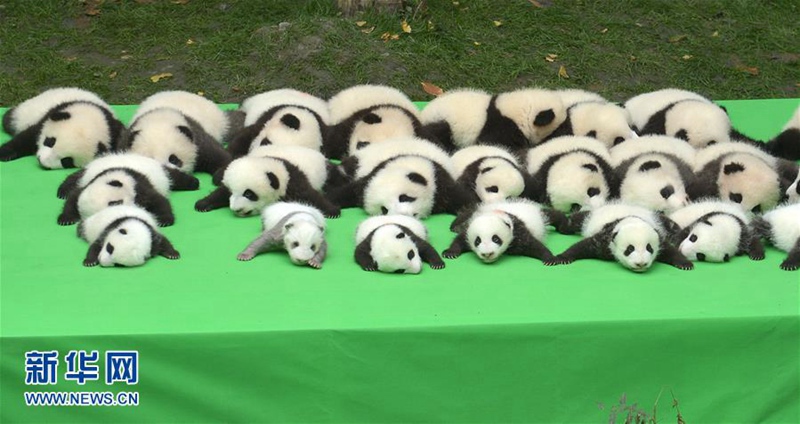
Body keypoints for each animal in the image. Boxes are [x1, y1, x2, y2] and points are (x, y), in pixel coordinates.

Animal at [195, 145, 340, 218]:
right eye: (232, 193)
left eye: (248, 194)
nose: (236, 209)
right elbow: (220, 192)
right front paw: (202, 204)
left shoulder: (293, 180)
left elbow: (310, 195)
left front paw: (332, 211)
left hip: (326, 173)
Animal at [327, 136, 476, 218]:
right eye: (384, 209)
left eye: (404, 197)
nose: (401, 215)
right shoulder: (366, 178)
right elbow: (345, 192)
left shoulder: (438, 177)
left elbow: (464, 200)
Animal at [556, 202, 693, 272]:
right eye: (629, 249)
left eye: (649, 248)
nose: (641, 264)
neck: (629, 218)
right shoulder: (605, 240)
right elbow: (583, 246)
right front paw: (563, 257)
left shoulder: (658, 236)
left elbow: (670, 250)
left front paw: (684, 263)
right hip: (588, 218)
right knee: (572, 223)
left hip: (658, 219)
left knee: (672, 226)